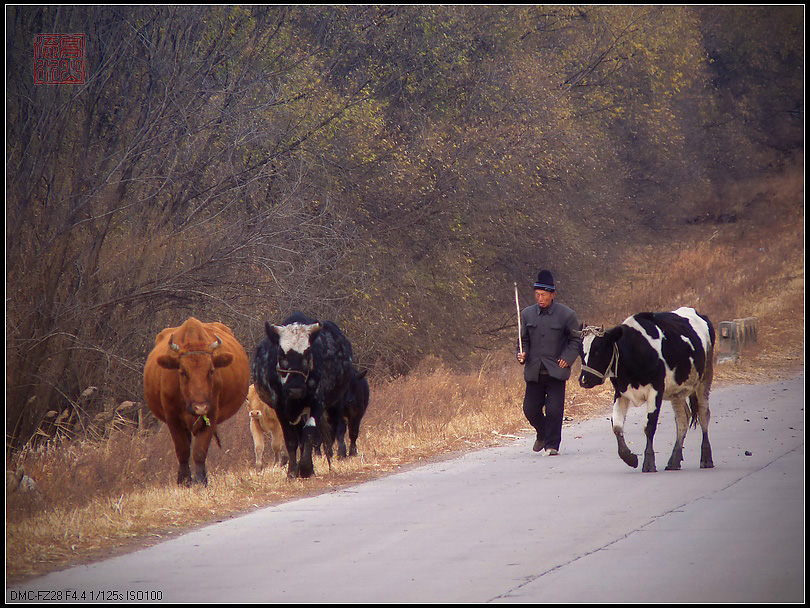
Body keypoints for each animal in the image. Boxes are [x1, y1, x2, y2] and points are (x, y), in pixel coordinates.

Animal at [144, 318, 248, 484]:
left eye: (211, 370)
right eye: (182, 372)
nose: (200, 407)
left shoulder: (211, 415)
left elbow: (199, 450)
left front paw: (200, 480)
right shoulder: (172, 419)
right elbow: (182, 450)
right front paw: (184, 480)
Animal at [251, 314, 352, 480]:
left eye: (307, 353)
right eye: (281, 354)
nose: (295, 389)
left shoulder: (317, 402)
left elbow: (309, 434)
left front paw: (305, 468)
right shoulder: (280, 407)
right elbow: (291, 439)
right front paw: (292, 471)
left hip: (334, 405)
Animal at [576, 306, 712, 472]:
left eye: (598, 350)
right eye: (580, 351)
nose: (584, 380)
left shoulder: (655, 391)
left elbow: (649, 425)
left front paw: (648, 462)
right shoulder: (621, 392)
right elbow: (617, 425)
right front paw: (629, 458)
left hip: (705, 378)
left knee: (703, 414)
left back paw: (706, 458)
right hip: (677, 392)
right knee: (682, 419)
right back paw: (674, 461)